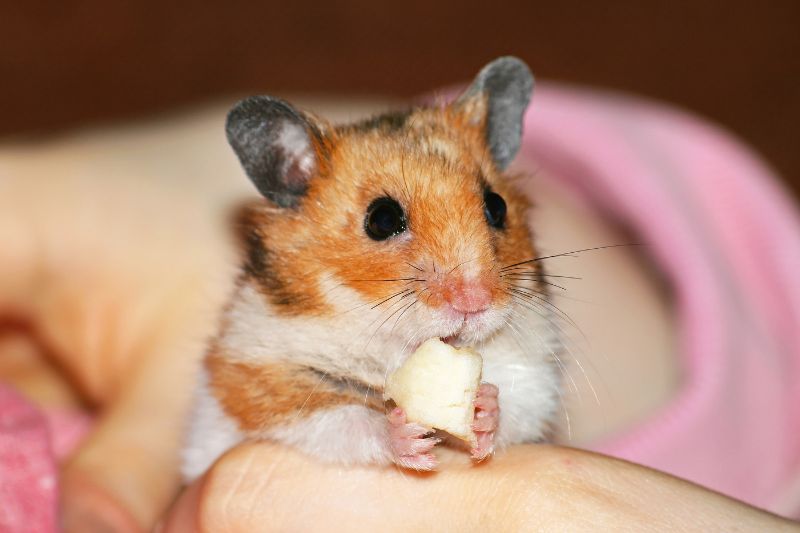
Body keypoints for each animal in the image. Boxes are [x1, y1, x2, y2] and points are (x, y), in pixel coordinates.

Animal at [181, 57, 560, 478]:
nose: (474, 302)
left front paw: (484, 408)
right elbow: (340, 417)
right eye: (382, 219)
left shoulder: (535, 373)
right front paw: (405, 436)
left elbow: (523, 400)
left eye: (496, 206)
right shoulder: (256, 378)